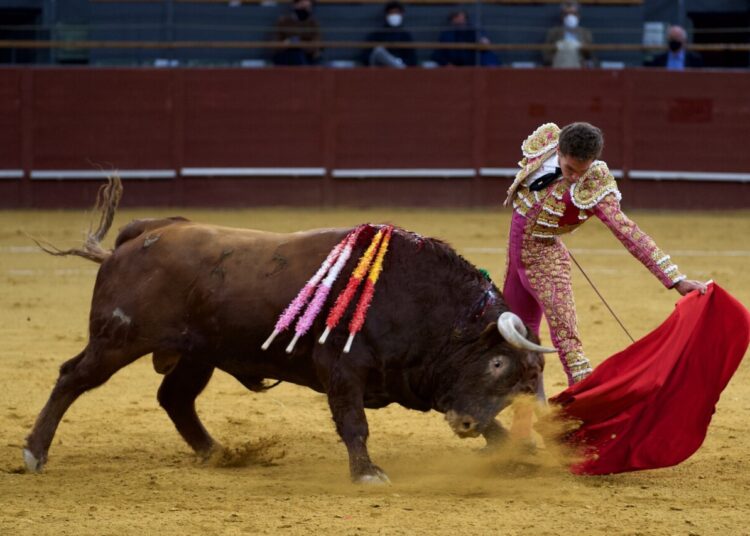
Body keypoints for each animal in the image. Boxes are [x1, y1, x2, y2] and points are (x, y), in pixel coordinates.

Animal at [23, 178, 552, 484]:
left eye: (524, 383)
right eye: (497, 362)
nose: (464, 426)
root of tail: (146, 233)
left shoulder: (416, 379)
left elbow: (488, 422)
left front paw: (516, 454)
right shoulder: (342, 368)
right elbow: (353, 422)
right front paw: (367, 473)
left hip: (198, 353)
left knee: (175, 397)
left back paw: (218, 453)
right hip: (119, 337)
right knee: (73, 378)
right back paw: (33, 453)